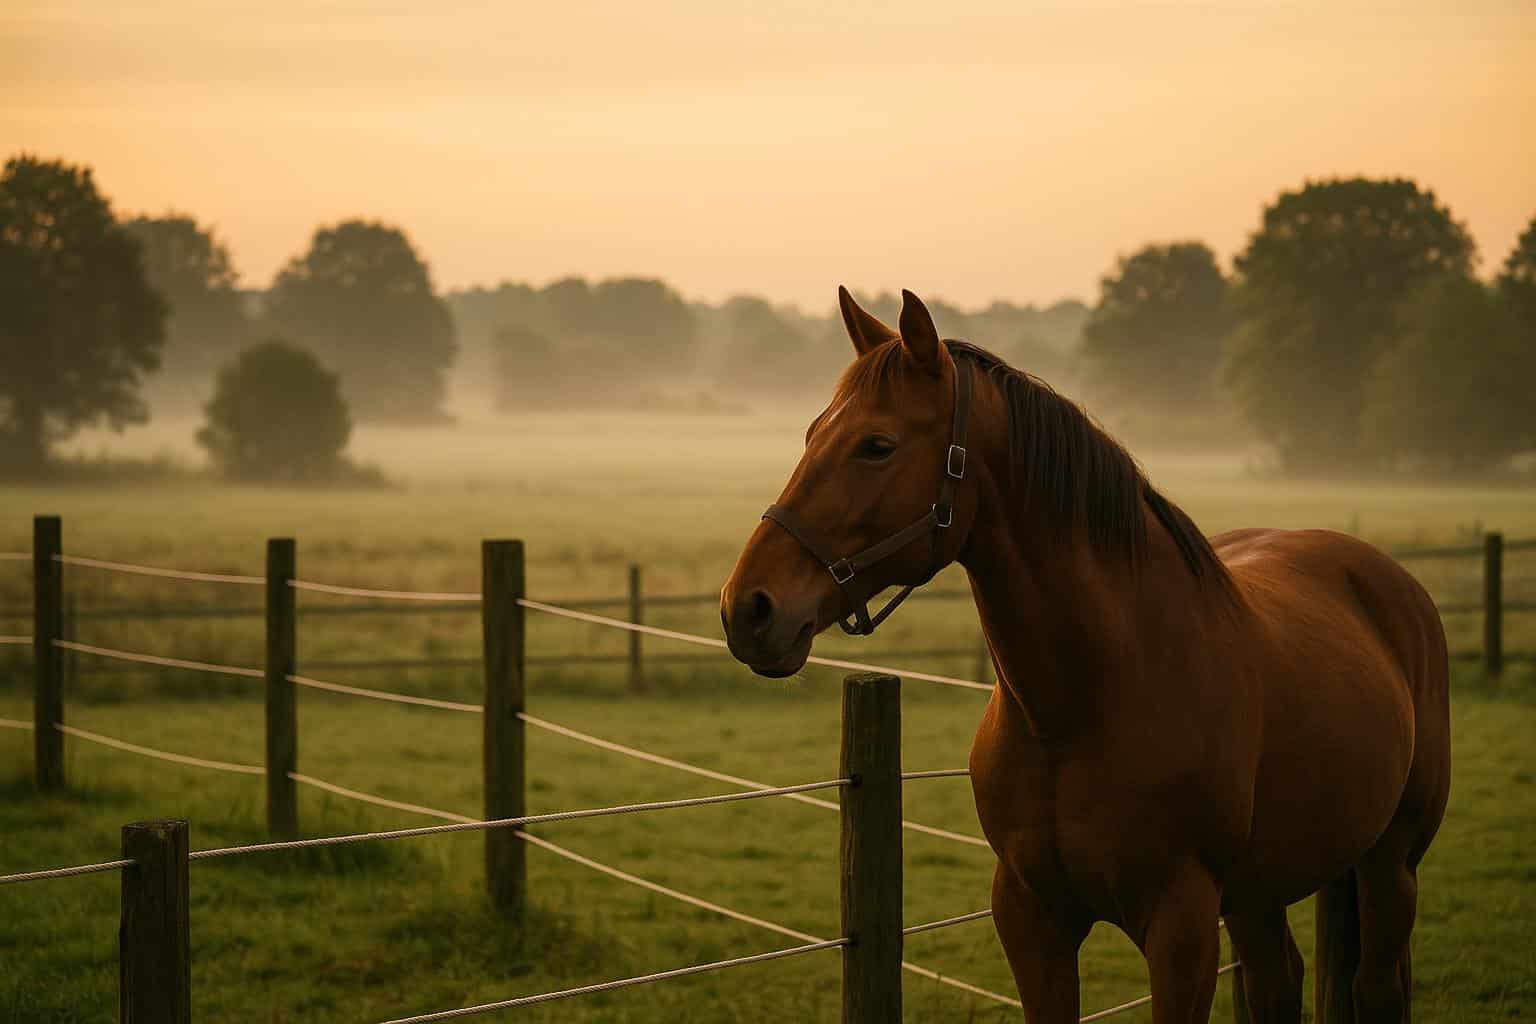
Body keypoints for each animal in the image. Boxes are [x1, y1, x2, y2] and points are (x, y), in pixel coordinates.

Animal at [719, 288, 1450, 1023]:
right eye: (812, 434)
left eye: (877, 445)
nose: (746, 607)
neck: (1087, 701)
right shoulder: (1031, 917)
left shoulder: (1182, 930)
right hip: (1259, 890)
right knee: (1279, 979)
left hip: (1391, 863)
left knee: (1377, 985)